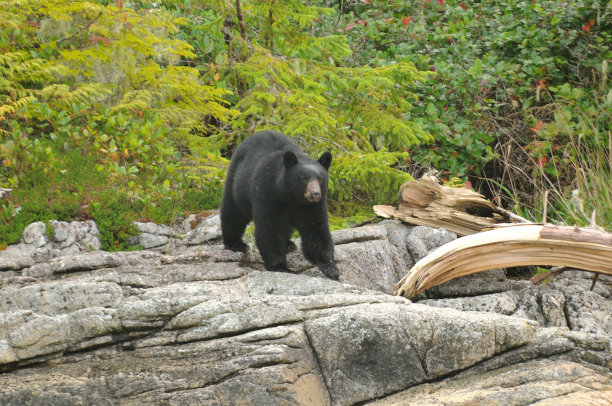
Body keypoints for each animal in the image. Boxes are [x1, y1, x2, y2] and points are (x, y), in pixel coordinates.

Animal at [219, 130, 338, 280]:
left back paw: (289, 244)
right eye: (304, 178)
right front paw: (280, 267)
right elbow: (270, 228)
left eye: (320, 177)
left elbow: (315, 230)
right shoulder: (268, 193)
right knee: (233, 211)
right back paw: (235, 244)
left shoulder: (311, 207)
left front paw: (330, 268)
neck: (292, 197)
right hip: (236, 182)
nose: (315, 193)